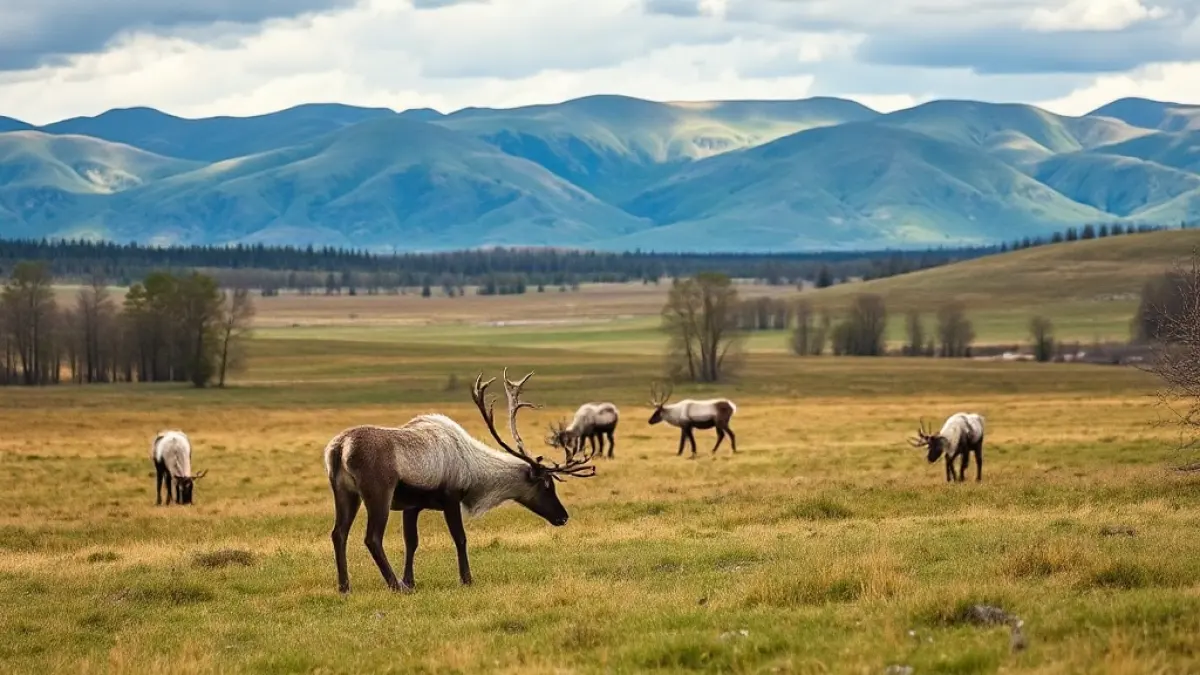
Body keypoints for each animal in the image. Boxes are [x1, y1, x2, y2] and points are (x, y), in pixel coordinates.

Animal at [323, 369, 596, 594]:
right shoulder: (451, 497)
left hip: (344, 492)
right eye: (547, 485)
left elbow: (411, 542)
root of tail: (339, 448)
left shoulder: (412, 506)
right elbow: (460, 538)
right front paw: (466, 579)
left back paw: (344, 586)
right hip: (378, 493)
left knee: (338, 533)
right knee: (372, 538)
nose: (563, 517)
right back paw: (393, 585)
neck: (474, 470)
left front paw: (411, 580)